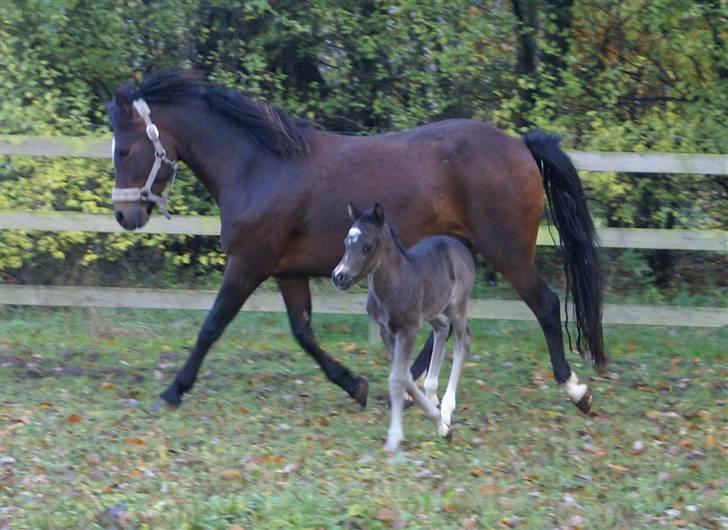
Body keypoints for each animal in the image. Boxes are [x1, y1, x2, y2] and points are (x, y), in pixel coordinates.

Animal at [109, 68, 604, 412]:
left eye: (125, 149)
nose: (124, 214)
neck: (258, 165)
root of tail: (520, 145)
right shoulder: (287, 271)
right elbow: (304, 333)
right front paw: (355, 385)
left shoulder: (248, 264)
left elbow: (211, 326)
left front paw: (171, 392)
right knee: (444, 323)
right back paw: (409, 386)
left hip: (509, 253)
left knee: (545, 304)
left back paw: (575, 390)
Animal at [334, 202, 478, 450]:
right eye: (346, 242)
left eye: (367, 246)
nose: (339, 276)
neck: (393, 285)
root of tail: (458, 245)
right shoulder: (386, 331)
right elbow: (404, 376)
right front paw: (439, 425)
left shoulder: (408, 330)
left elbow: (397, 378)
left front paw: (395, 437)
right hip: (433, 310)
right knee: (442, 327)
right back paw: (432, 392)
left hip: (457, 306)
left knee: (463, 342)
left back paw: (447, 408)